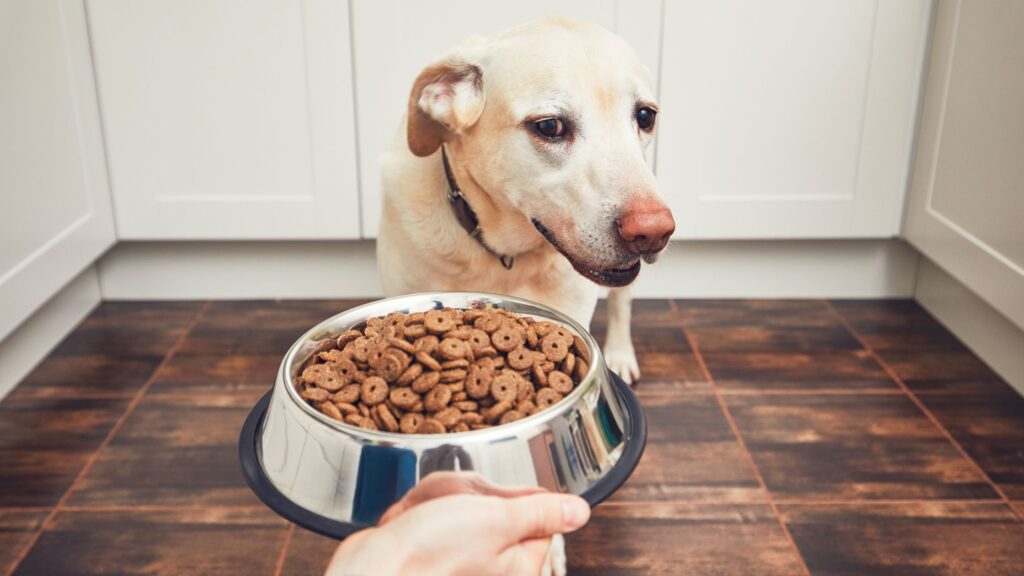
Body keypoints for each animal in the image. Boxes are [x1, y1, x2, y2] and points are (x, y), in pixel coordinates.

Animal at [380, 16, 675, 385]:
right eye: (550, 126)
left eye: (646, 116)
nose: (653, 232)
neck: (503, 254)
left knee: (622, 301)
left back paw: (620, 353)